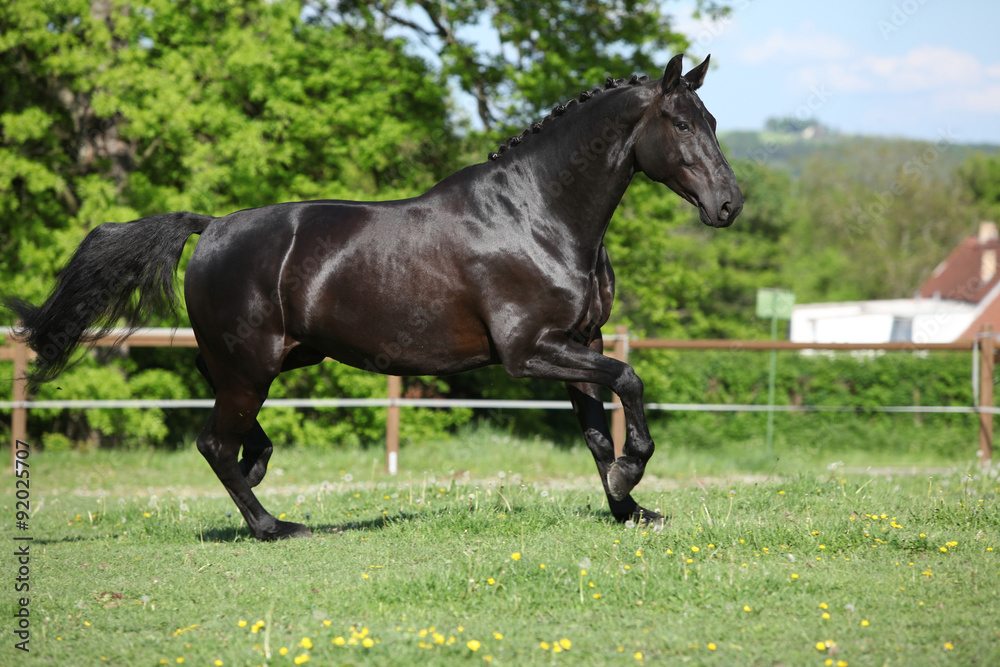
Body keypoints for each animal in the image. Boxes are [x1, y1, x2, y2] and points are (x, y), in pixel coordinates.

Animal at [5, 54, 744, 540]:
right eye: (681, 124)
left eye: (711, 118)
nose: (729, 205)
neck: (537, 216)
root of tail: (210, 226)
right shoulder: (529, 351)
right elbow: (630, 380)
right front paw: (631, 474)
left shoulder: (577, 342)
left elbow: (595, 429)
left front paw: (628, 506)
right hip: (252, 362)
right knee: (214, 442)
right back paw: (275, 524)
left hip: (274, 358)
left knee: (230, 427)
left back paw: (260, 471)